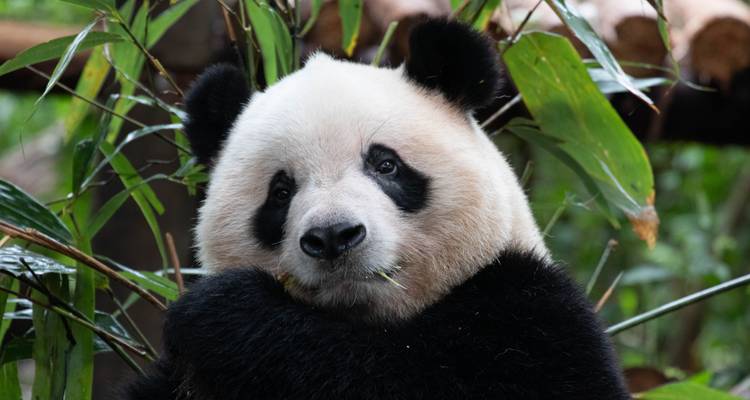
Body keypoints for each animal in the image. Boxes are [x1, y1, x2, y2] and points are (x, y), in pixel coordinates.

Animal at [126, 19, 629, 400]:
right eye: (281, 192)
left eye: (385, 164)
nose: (333, 236)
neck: (366, 320)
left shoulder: (532, 316)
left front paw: (226, 314)